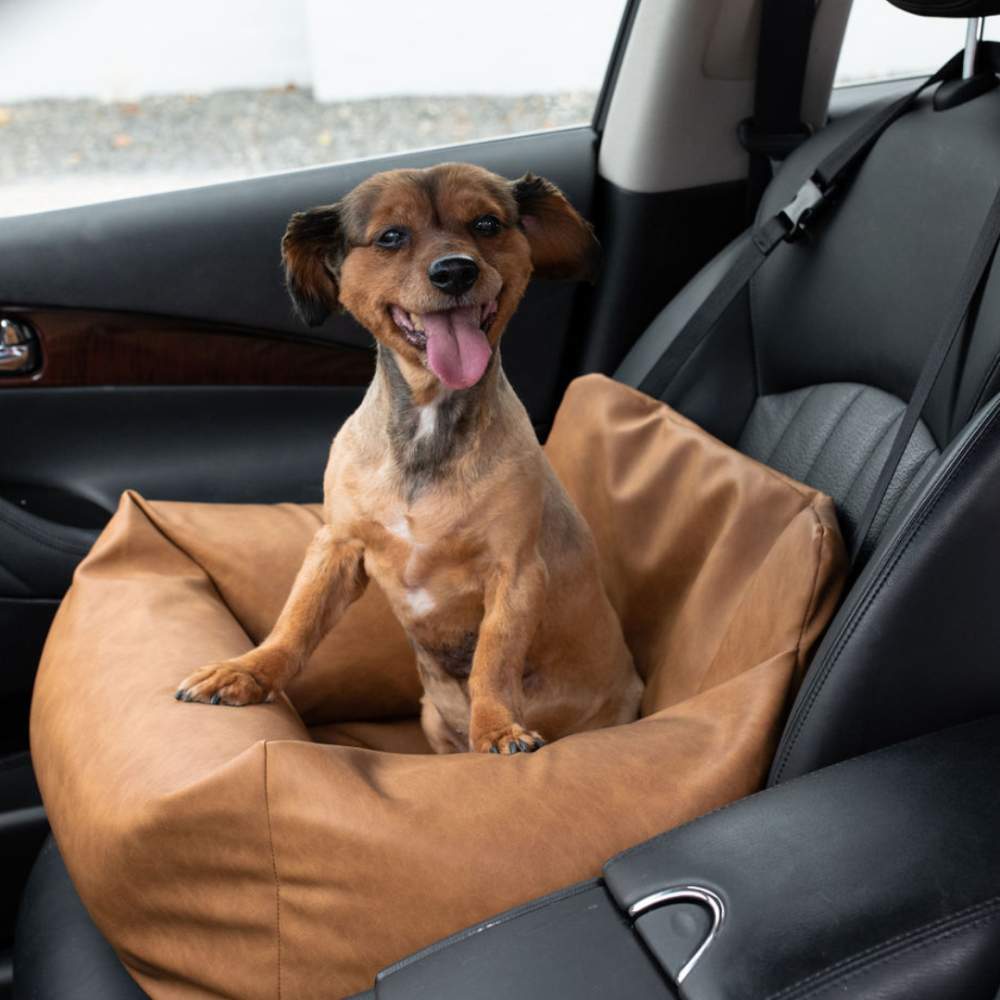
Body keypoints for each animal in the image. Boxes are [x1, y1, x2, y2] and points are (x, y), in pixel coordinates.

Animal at [178, 164, 640, 752]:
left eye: (487, 224)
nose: (455, 271)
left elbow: (494, 659)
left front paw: (496, 727)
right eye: (391, 236)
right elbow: (296, 621)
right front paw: (248, 671)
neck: (428, 424)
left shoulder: (514, 572)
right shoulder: (336, 546)